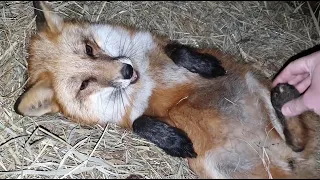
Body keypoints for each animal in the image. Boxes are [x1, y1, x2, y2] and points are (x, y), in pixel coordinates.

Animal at [14, 1, 320, 179]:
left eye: (89, 49)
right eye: (84, 84)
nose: (127, 72)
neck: (146, 76)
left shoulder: (157, 43)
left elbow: (177, 49)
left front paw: (205, 65)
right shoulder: (131, 114)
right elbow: (139, 123)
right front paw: (174, 141)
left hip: (259, 90)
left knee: (297, 135)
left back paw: (286, 98)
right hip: (218, 171)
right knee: (296, 141)